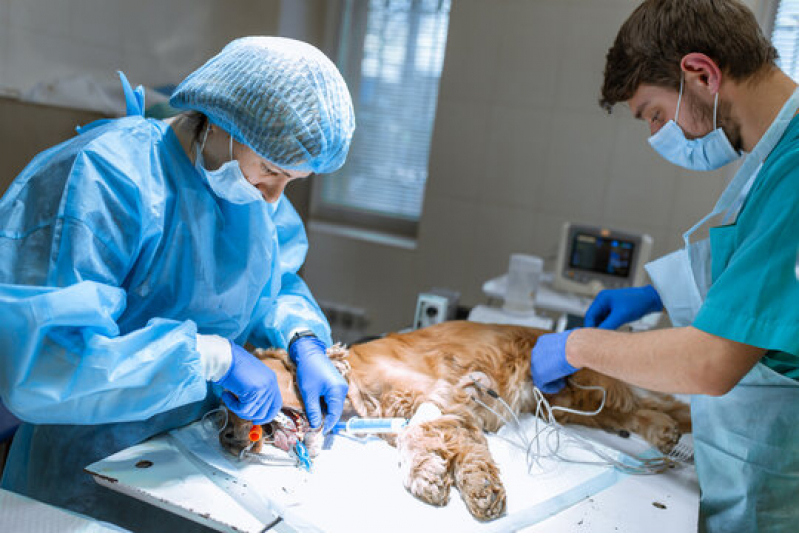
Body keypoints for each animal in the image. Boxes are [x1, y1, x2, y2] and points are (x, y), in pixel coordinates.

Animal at [219, 320, 688, 520]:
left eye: (236, 399)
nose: (227, 439)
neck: (354, 385)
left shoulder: (443, 398)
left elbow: (442, 441)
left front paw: (477, 489)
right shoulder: (424, 412)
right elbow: (420, 441)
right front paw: (429, 474)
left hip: (586, 385)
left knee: (654, 402)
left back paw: (674, 434)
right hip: (571, 406)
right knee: (638, 412)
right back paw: (666, 435)